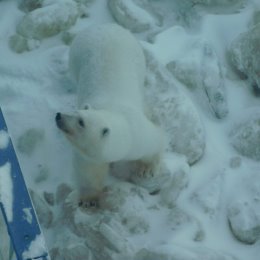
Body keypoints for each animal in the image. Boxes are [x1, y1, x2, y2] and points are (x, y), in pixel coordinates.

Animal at [55, 23, 164, 207]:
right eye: (76, 112)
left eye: (81, 121)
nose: (59, 117)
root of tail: (103, 25)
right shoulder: (90, 156)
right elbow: (89, 173)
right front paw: (88, 199)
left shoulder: (139, 136)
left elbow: (154, 142)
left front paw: (146, 169)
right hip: (76, 55)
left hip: (136, 57)